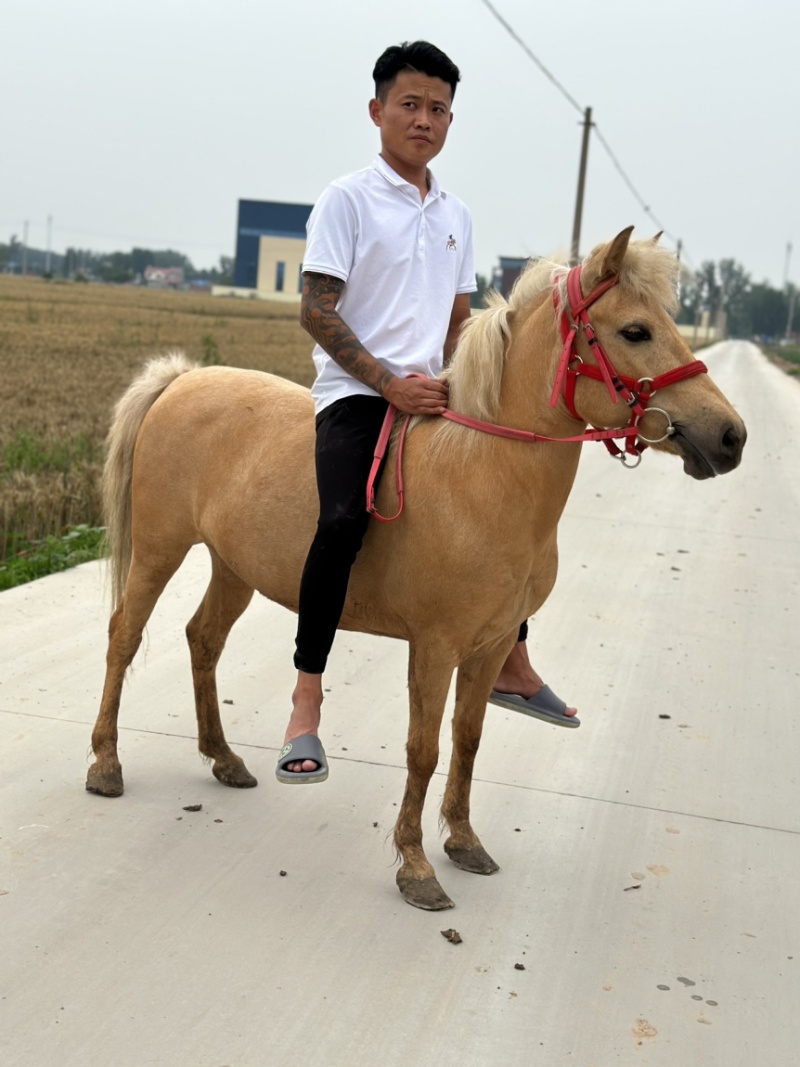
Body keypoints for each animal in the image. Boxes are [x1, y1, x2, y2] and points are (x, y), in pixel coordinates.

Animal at [86, 227, 746, 911]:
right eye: (636, 331)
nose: (731, 437)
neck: (482, 473)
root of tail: (182, 380)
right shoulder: (435, 647)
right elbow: (423, 750)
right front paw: (416, 866)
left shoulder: (490, 646)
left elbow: (467, 740)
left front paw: (464, 841)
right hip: (160, 550)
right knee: (124, 636)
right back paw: (107, 764)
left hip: (233, 567)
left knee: (204, 639)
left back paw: (223, 758)